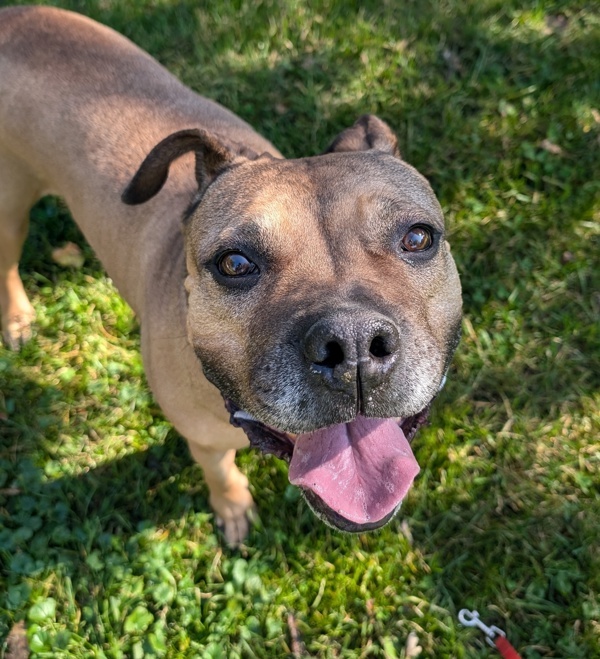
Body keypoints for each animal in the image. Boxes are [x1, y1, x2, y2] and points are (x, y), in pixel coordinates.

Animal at [0, 7, 464, 544]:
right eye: (235, 264)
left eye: (418, 238)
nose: (352, 346)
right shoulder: (201, 438)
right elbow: (219, 471)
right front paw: (233, 507)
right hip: (10, 210)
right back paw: (17, 320)